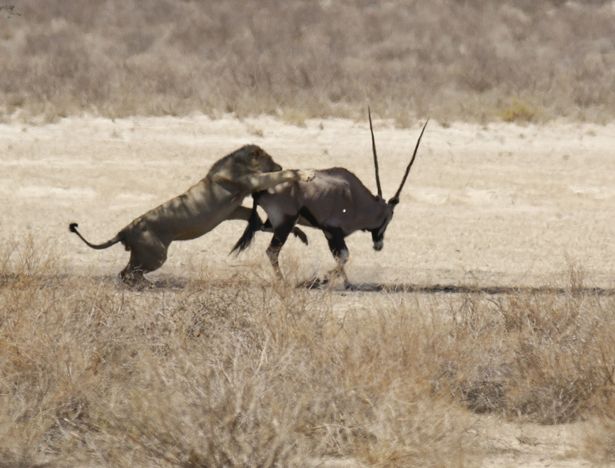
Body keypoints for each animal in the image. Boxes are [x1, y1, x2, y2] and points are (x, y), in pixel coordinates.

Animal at [70, 144, 316, 286]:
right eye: (270, 159)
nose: (279, 164)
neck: (241, 163)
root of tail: (125, 229)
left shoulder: (233, 208)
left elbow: (259, 221)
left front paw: (298, 232)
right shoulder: (250, 181)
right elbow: (283, 175)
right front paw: (306, 174)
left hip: (142, 254)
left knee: (124, 272)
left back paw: (143, 284)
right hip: (156, 255)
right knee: (129, 273)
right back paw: (145, 285)